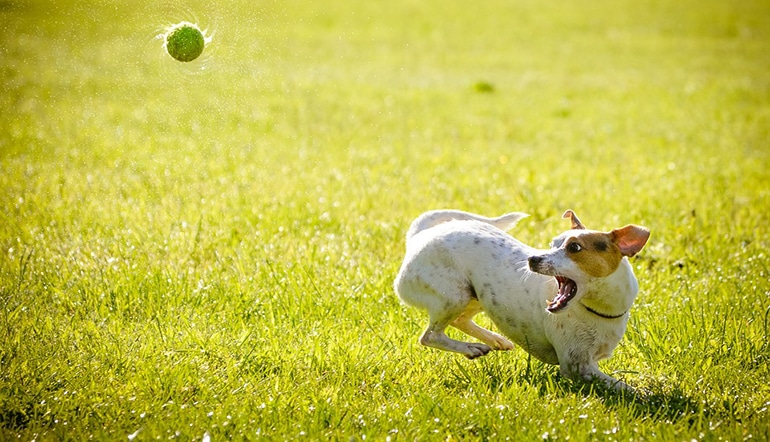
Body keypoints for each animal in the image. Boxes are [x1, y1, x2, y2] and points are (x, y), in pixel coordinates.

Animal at [392, 208, 652, 390]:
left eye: (575, 248)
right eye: (552, 244)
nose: (533, 259)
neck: (597, 308)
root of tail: (419, 236)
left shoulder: (590, 362)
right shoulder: (577, 367)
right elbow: (623, 387)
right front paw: (645, 394)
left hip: (476, 296)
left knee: (459, 320)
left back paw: (494, 340)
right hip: (454, 295)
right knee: (430, 336)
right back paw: (471, 347)